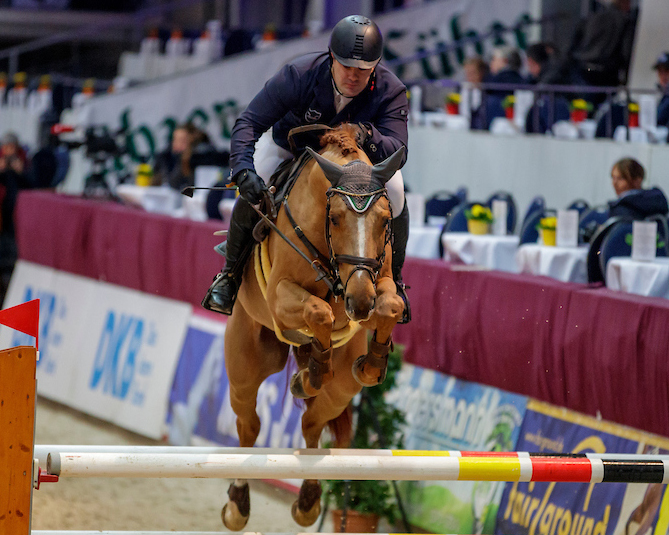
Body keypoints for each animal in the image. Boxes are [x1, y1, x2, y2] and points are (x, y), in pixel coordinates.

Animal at [222, 123, 404, 528]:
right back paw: (238, 504)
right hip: (245, 365)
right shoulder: (280, 295)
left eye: (386, 220)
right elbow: (319, 311)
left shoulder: (378, 282)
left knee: (311, 423)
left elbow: (391, 305)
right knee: (249, 424)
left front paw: (372, 364)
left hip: (342, 391)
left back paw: (307, 501)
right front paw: (315, 368)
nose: (359, 302)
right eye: (334, 217)